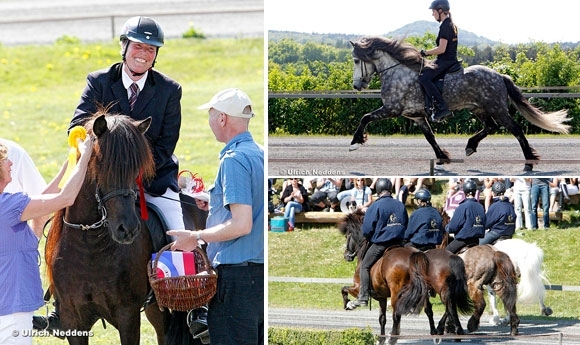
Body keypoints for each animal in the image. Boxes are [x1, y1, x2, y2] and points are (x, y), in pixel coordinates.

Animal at [45, 111, 167, 342]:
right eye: (101, 165)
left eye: (137, 169)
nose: (127, 229)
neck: (89, 246)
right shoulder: (73, 318)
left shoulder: (128, 315)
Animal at [338, 210, 428, 344]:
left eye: (347, 236)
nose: (346, 256)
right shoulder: (382, 297)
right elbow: (382, 318)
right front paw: (380, 338)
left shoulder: (358, 288)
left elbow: (344, 289)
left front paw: (349, 304)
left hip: (397, 294)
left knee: (396, 316)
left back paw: (393, 339)